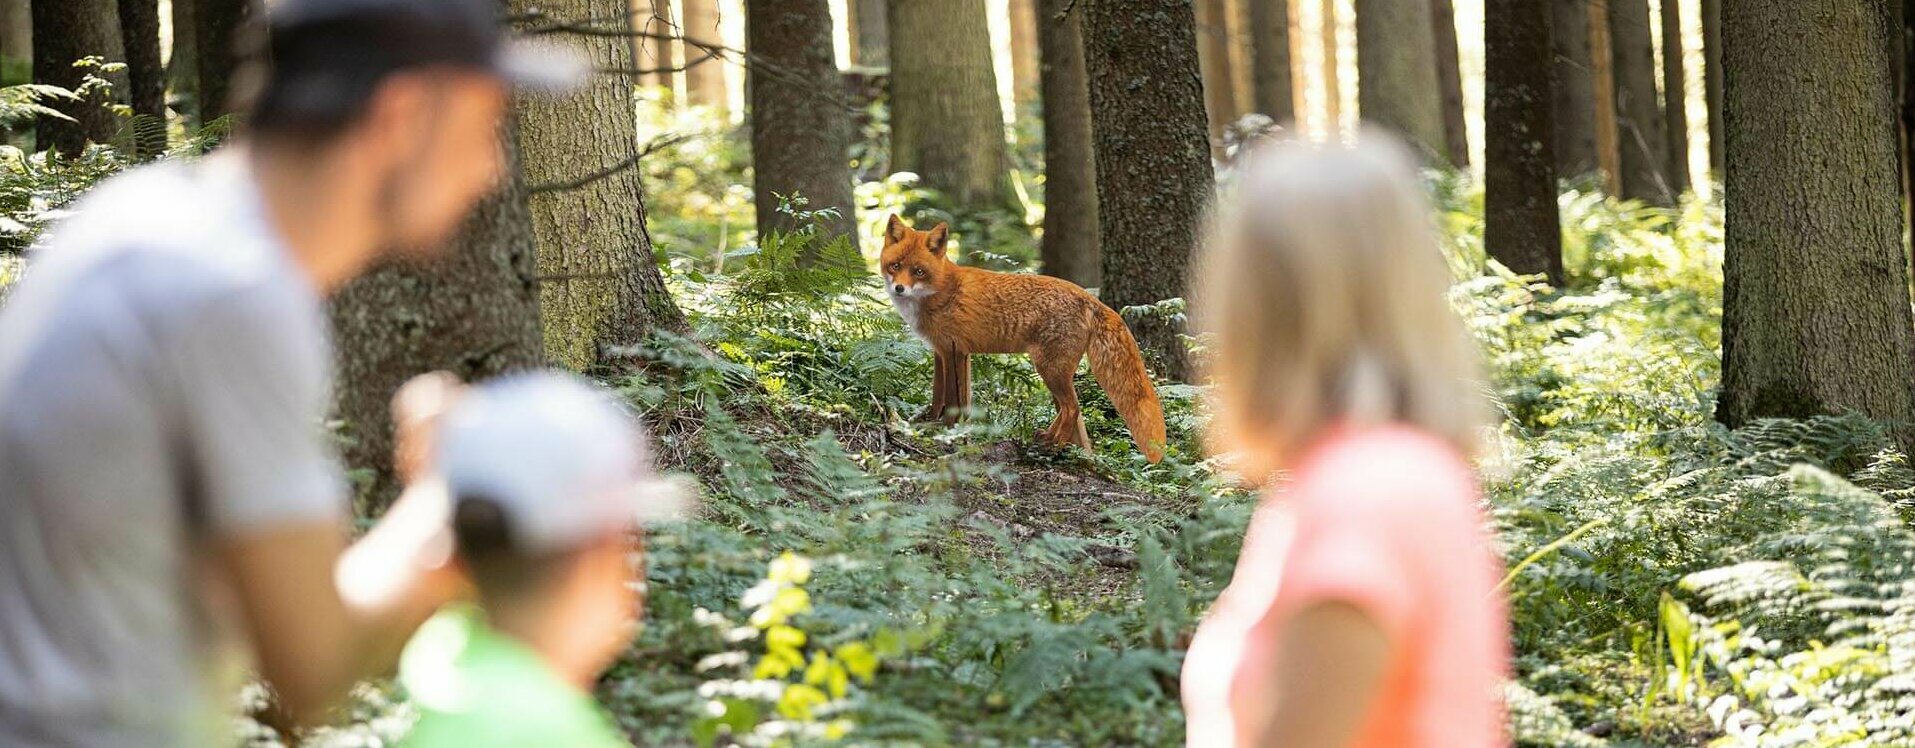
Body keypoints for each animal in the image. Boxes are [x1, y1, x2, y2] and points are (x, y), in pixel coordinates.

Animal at [879, 214, 1167, 463]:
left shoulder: (954, 351)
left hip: (1049, 368)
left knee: (1072, 408)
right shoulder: (943, 352)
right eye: (895, 266)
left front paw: (947, 430)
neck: (939, 290)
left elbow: (952, 398)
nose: (899, 288)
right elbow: (940, 394)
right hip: (1054, 371)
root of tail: (1090, 297)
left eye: (918, 271)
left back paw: (1053, 445)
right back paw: (1051, 439)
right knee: (1070, 410)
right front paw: (931, 423)